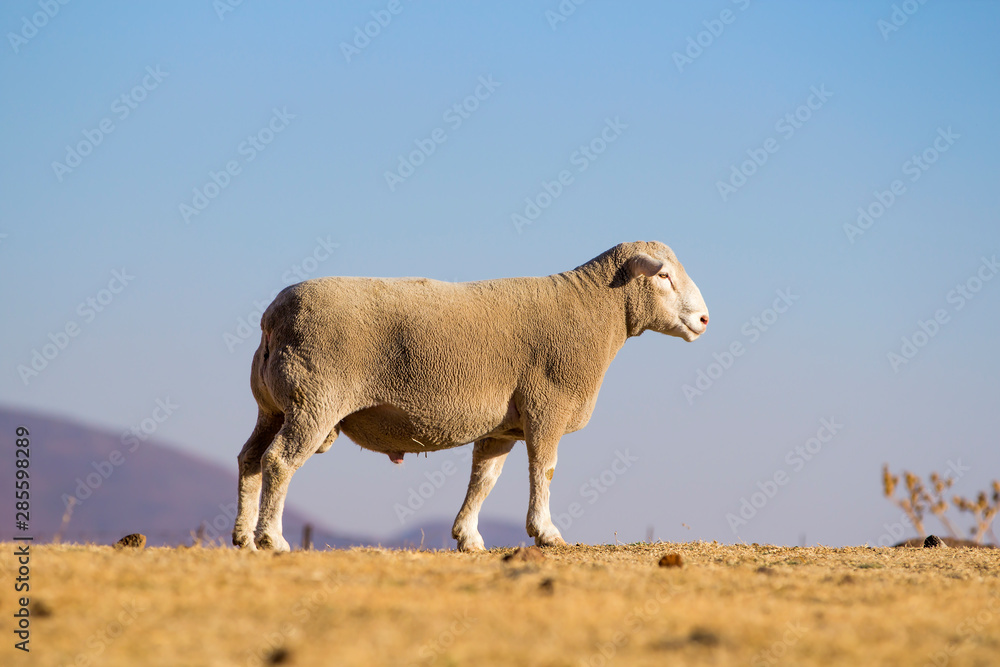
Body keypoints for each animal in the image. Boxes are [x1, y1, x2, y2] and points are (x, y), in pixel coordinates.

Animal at [233, 240, 709, 552]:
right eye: (663, 275)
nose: (705, 319)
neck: (596, 311)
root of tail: (272, 317)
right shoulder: (546, 407)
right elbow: (546, 470)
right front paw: (546, 533)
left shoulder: (503, 426)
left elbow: (484, 479)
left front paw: (469, 537)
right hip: (314, 400)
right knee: (279, 462)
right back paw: (272, 539)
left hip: (271, 406)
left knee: (250, 459)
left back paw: (243, 538)